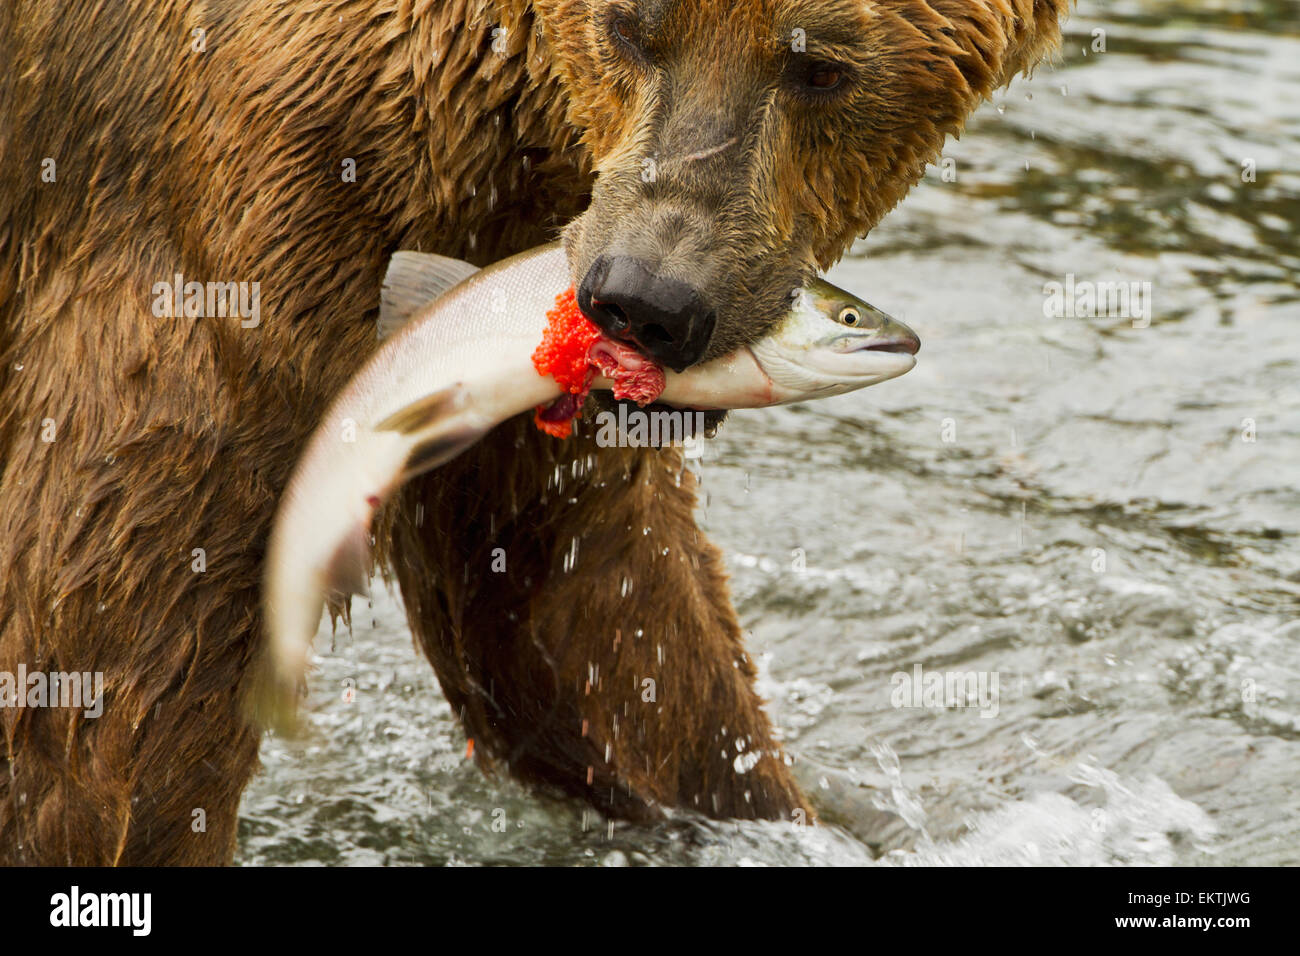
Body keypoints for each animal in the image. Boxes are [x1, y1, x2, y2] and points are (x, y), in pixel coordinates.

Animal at [0, 0, 1066, 868]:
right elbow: (116, 662)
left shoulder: (520, 349)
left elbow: (594, 610)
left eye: (821, 67)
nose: (647, 302)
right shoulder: (250, 208)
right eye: (632, 25)